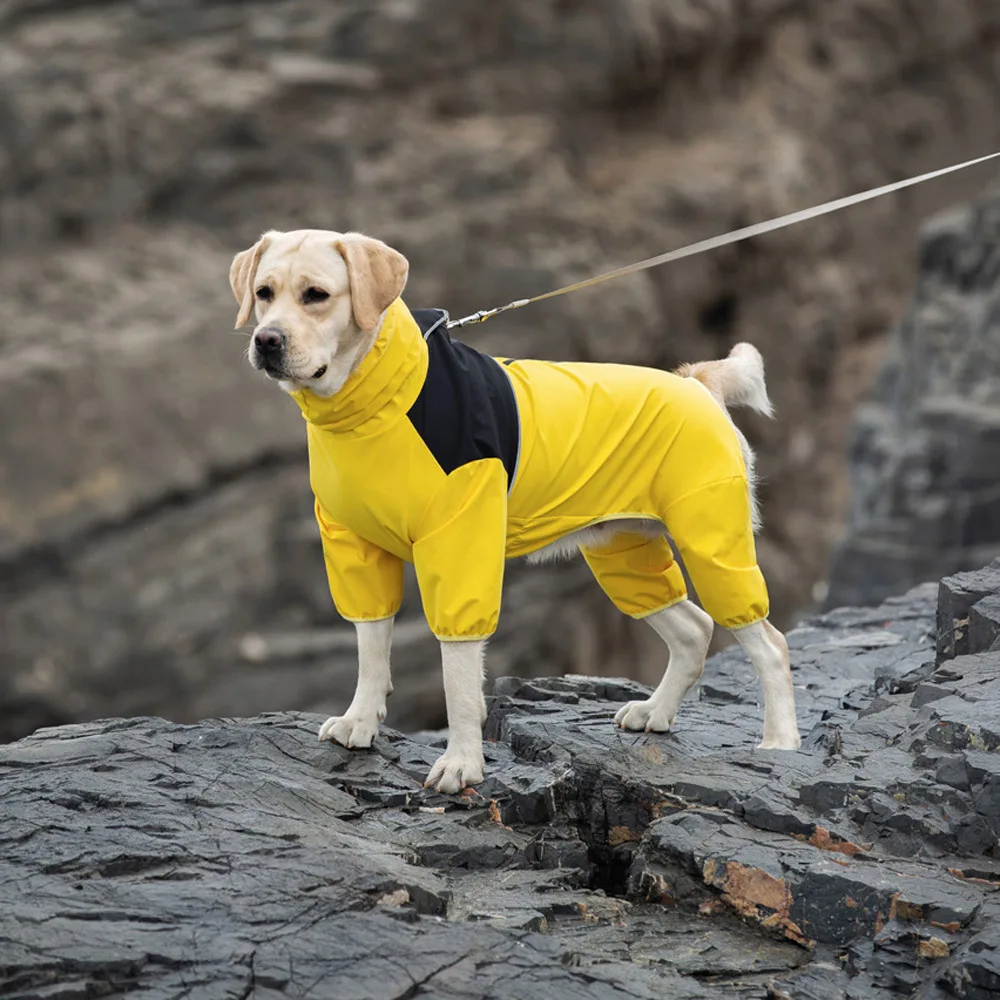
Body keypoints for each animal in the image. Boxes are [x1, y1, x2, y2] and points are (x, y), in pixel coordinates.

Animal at [230, 230, 800, 792]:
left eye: (317, 295)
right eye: (263, 293)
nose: (267, 340)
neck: (373, 407)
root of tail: (696, 382)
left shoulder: (460, 549)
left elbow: (457, 674)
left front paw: (461, 763)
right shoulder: (355, 548)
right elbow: (371, 647)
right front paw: (360, 722)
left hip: (712, 543)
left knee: (769, 643)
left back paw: (780, 743)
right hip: (624, 552)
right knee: (694, 629)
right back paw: (655, 712)